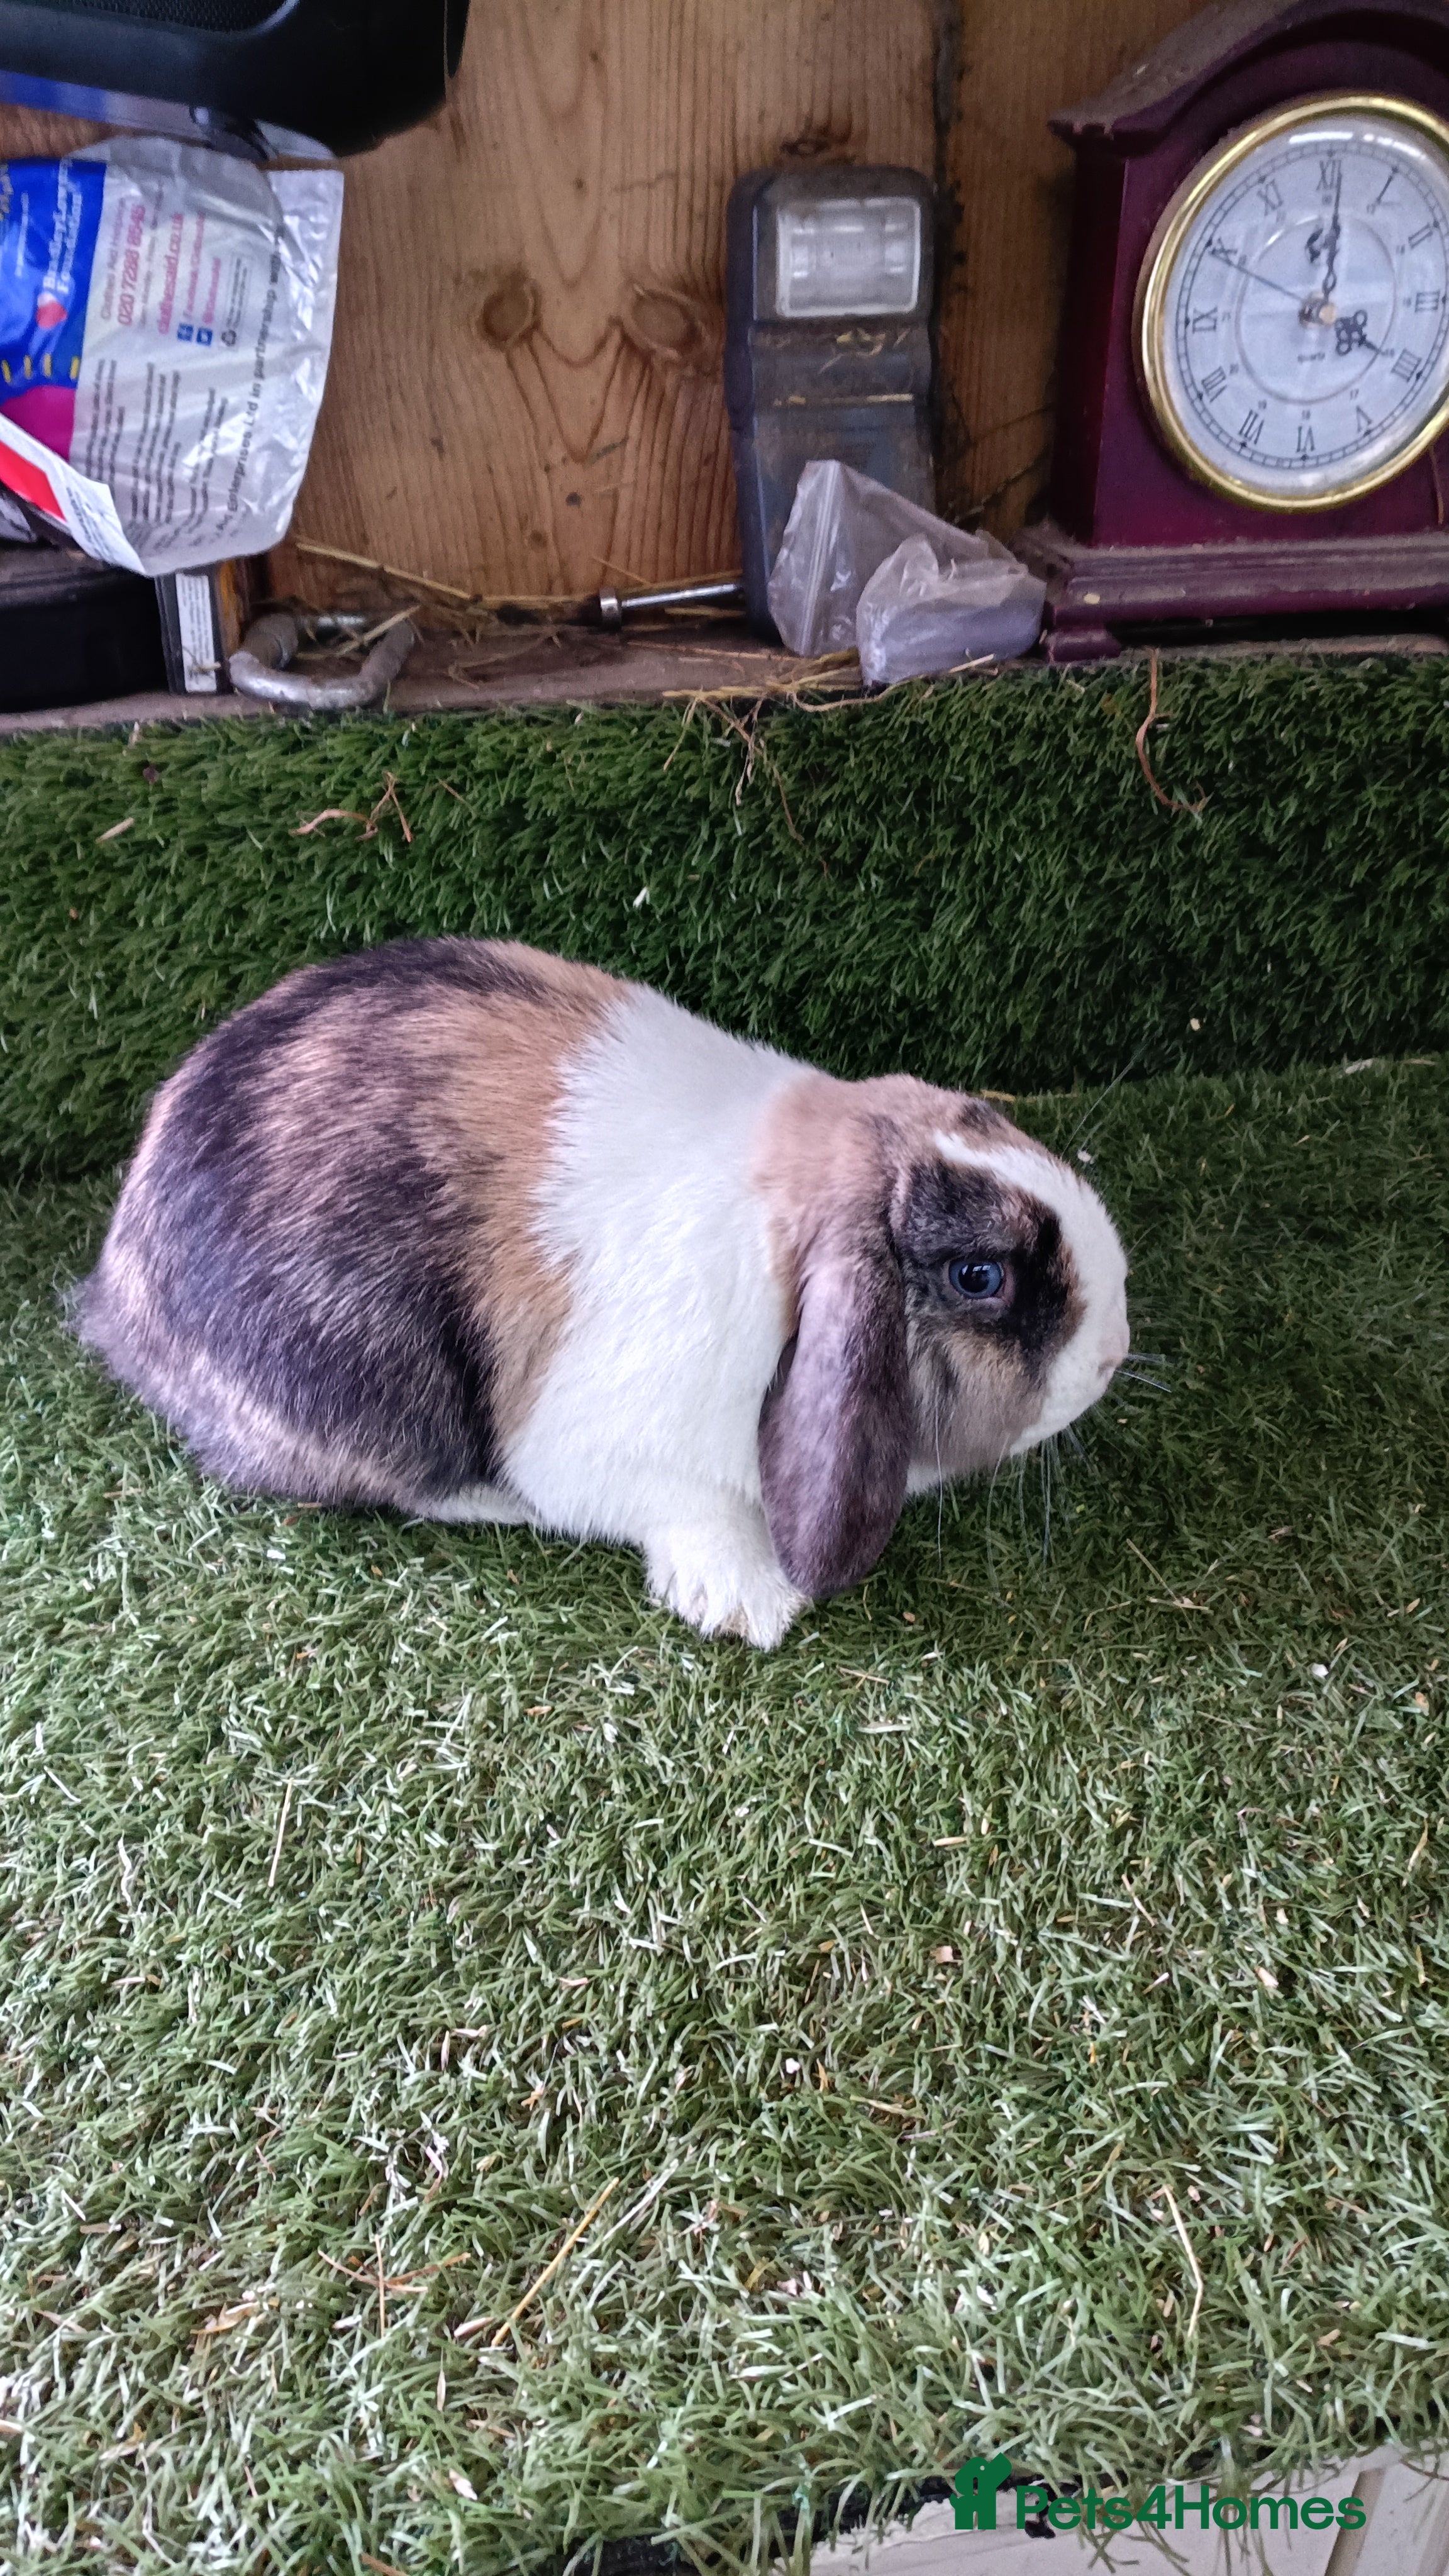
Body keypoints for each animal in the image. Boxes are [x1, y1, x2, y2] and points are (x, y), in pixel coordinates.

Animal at [77, 936, 1130, 1648]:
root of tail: (114, 1290)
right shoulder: (603, 1451)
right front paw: (750, 1601)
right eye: (979, 1276)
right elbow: (686, 1509)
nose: (1114, 1351)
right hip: (367, 1392)